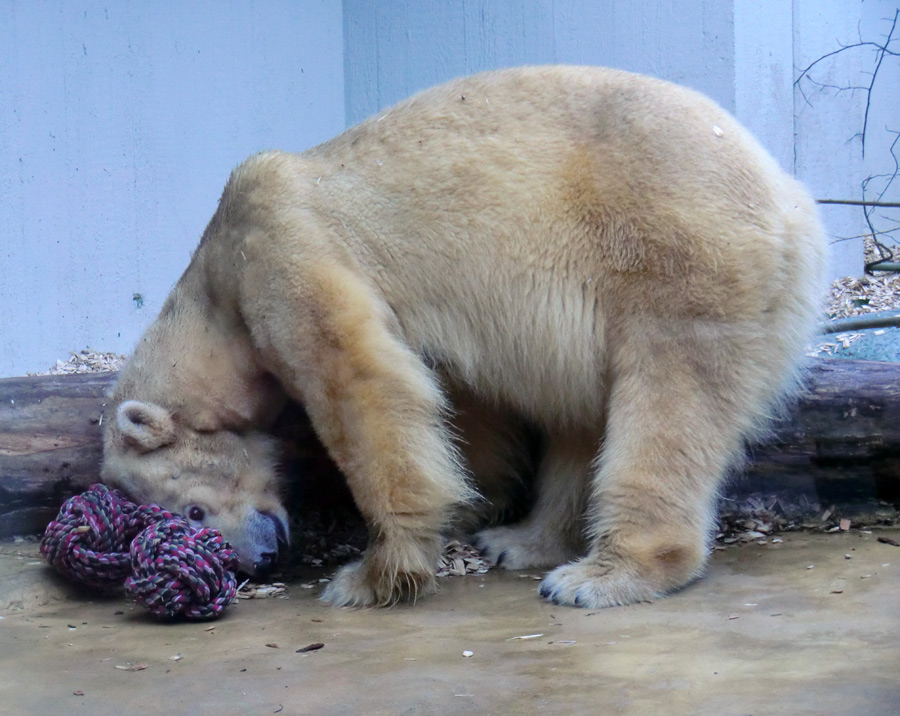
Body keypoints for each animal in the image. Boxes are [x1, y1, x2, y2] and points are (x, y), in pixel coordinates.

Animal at [102, 67, 828, 608]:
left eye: (193, 513)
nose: (259, 558)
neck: (215, 279)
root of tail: (792, 202)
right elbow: (458, 400)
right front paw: (468, 507)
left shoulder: (284, 251)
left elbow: (361, 385)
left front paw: (372, 575)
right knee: (584, 414)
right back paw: (525, 540)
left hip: (675, 253)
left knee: (667, 403)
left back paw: (601, 575)